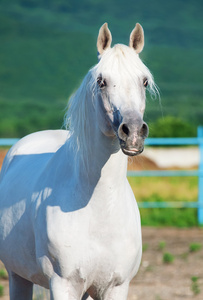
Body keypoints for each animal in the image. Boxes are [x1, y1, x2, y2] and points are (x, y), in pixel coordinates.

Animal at [0, 22, 155, 298]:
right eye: (102, 81)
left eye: (144, 81)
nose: (134, 132)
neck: (99, 207)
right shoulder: (63, 284)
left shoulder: (116, 286)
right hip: (17, 276)